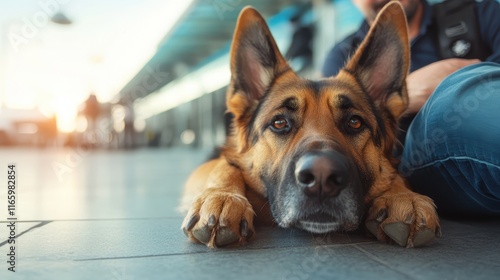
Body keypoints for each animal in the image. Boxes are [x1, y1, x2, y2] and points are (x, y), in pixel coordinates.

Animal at [182, 1, 440, 247]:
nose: (322, 177)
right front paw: (222, 196)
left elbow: (396, 175)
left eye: (355, 122)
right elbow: (225, 165)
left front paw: (403, 196)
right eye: (279, 122)